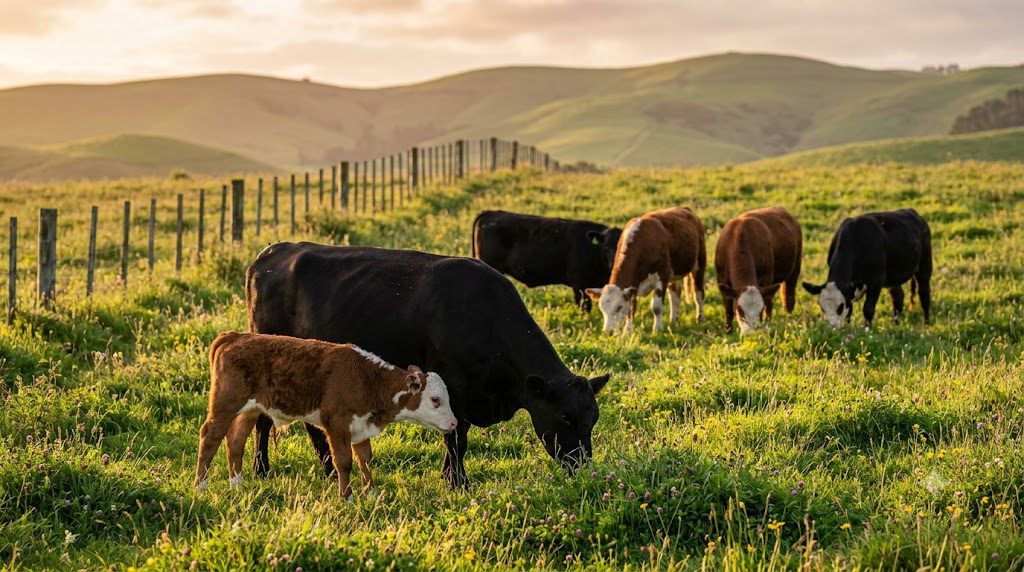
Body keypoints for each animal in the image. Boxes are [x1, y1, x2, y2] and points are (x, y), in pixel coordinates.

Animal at [195, 332, 457, 499]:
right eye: (435, 400)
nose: (454, 423)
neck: (367, 379)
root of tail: (234, 336)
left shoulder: (361, 426)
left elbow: (365, 459)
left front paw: (371, 493)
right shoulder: (337, 424)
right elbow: (344, 462)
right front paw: (347, 497)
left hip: (250, 409)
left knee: (235, 440)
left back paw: (237, 484)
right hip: (225, 403)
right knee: (210, 437)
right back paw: (201, 486)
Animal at [245, 243, 610, 488]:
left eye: (593, 418)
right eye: (565, 416)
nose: (584, 469)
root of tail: (272, 252)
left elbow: (456, 436)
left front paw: (448, 475)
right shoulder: (454, 384)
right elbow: (456, 437)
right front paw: (458, 482)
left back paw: (330, 470)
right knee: (263, 419)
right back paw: (261, 471)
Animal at [802, 208, 932, 328]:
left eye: (840, 306)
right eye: (822, 307)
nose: (833, 327)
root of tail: (914, 213)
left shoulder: (876, 281)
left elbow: (868, 309)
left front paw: (867, 330)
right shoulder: (851, 288)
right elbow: (850, 311)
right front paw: (848, 329)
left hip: (925, 266)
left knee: (924, 295)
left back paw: (925, 325)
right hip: (893, 277)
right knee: (898, 297)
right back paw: (896, 325)